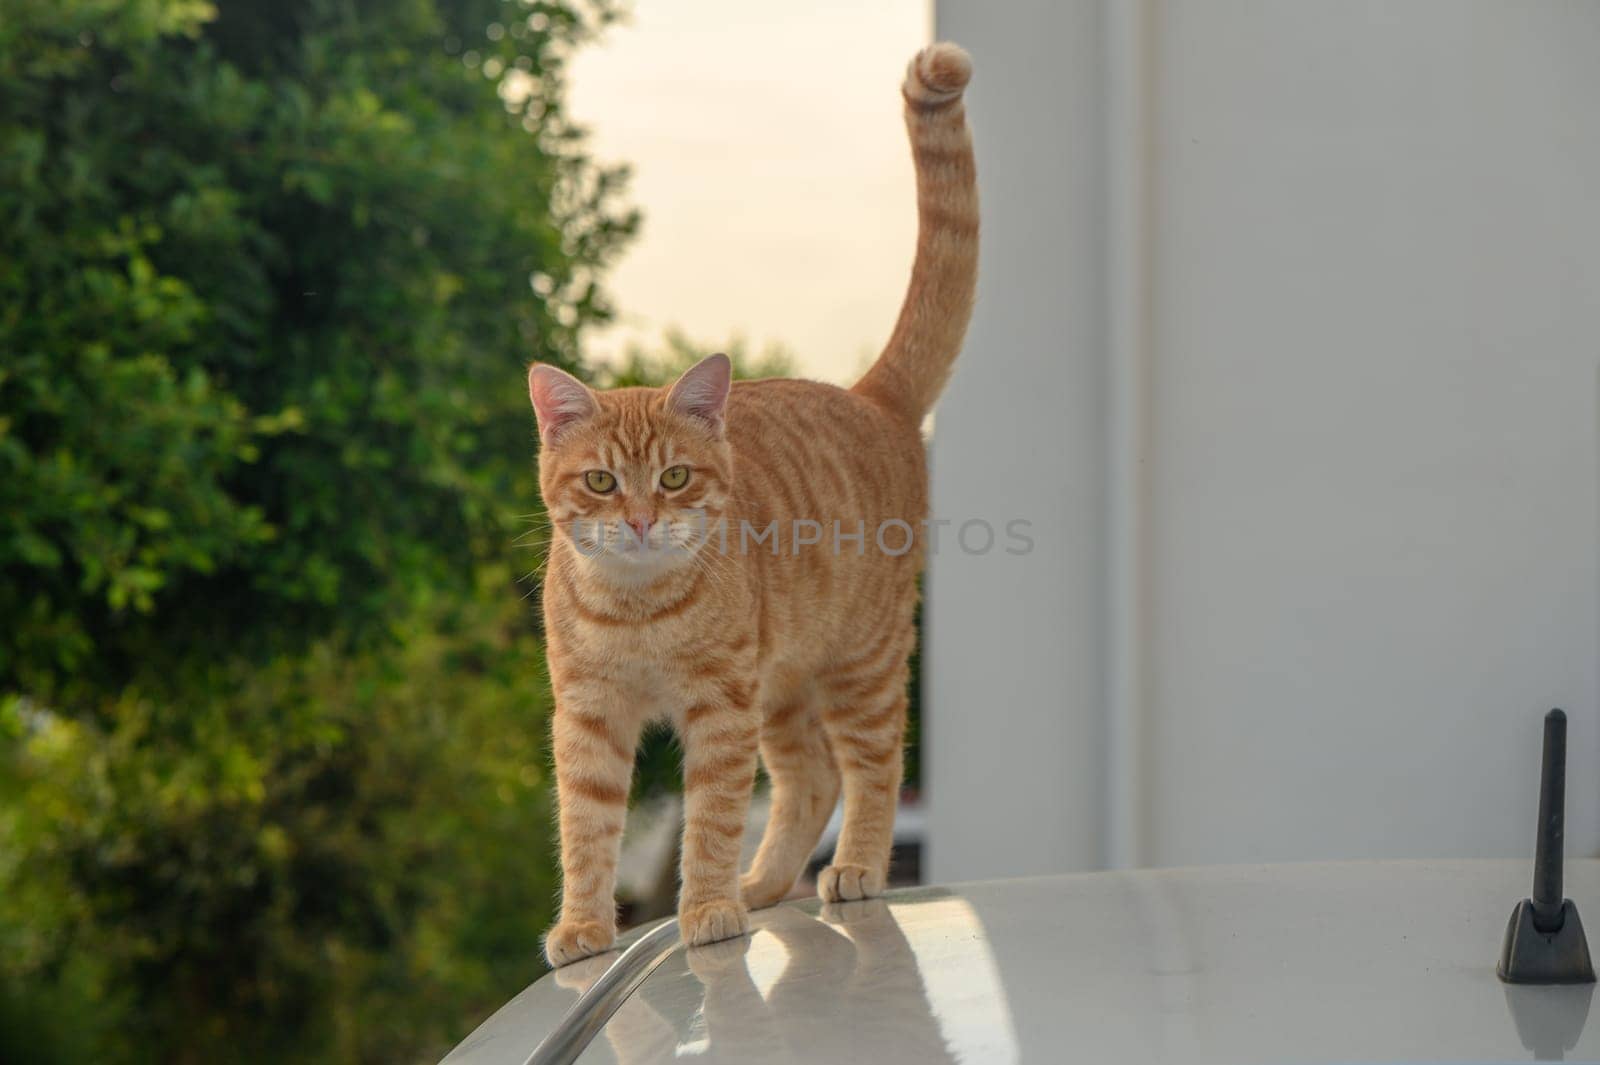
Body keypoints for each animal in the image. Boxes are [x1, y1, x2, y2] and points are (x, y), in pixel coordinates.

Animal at [531, 43, 972, 959]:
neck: (639, 607)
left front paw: (704, 909)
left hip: (861, 665)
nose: (639, 520)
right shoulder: (589, 716)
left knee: (871, 768)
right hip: (786, 687)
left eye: (674, 477)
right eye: (601, 481)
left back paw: (854, 870)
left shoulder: (718, 711)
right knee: (811, 778)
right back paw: (765, 885)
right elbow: (587, 829)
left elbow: (710, 817)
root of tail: (871, 394)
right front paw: (585, 924)